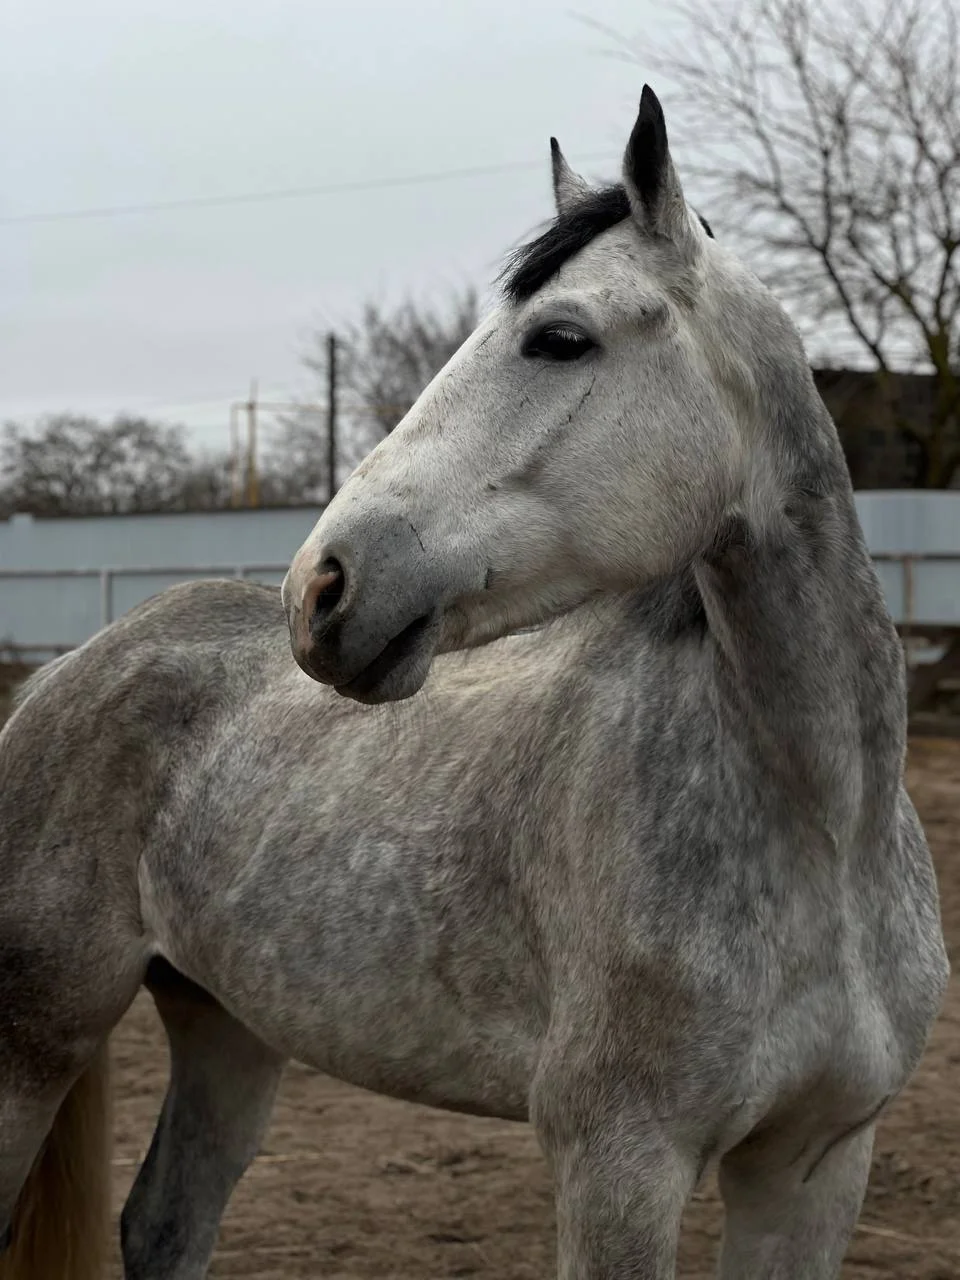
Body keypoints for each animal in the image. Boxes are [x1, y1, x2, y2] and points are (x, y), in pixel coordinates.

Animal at [0, 86, 948, 1279]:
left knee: (164, 1223)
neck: (821, 831)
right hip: (36, 1041)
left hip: (227, 1026)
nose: (322, 588)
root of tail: (70, 672)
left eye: (559, 338)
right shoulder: (619, 1166)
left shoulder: (816, 1166)